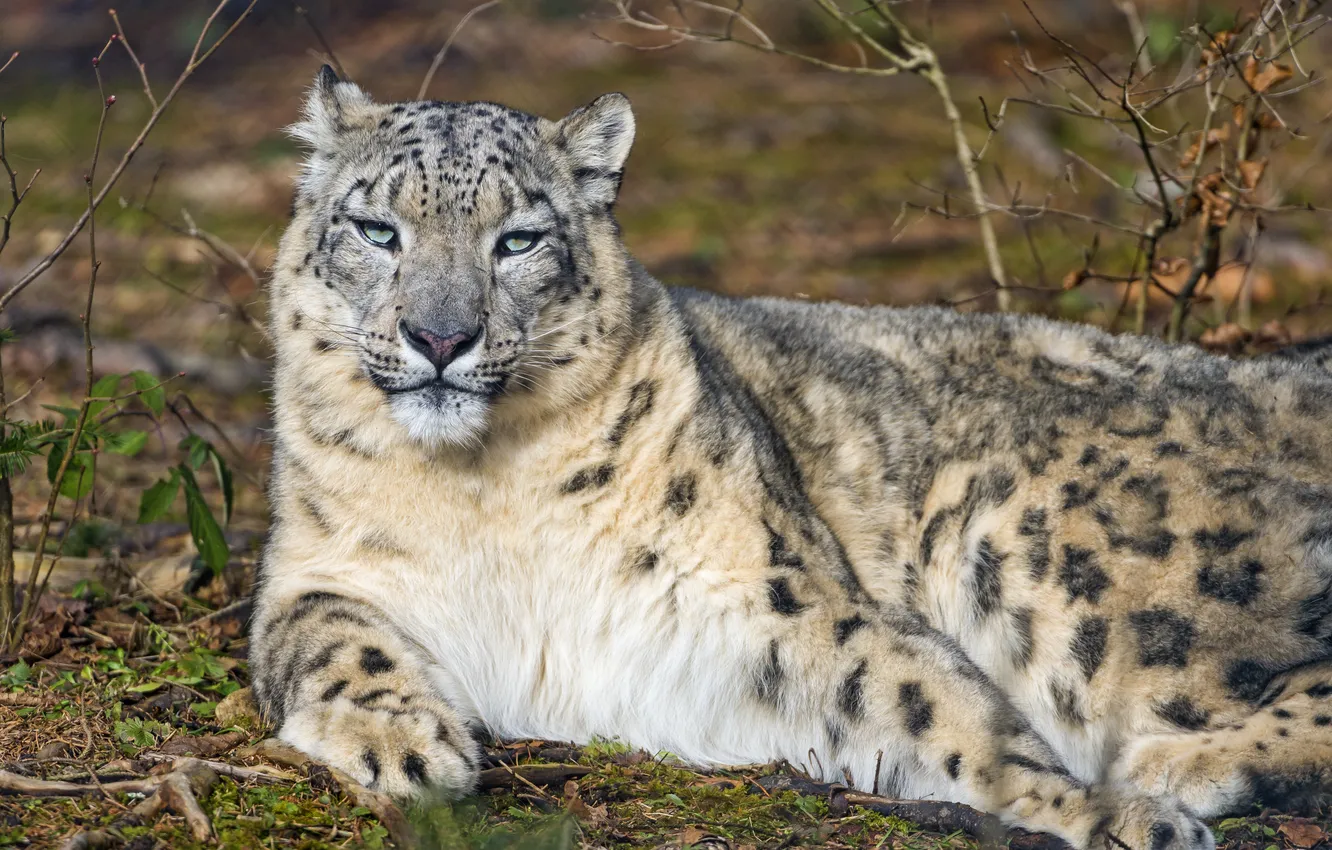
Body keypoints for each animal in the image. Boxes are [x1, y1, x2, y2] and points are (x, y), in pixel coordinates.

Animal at [250, 66, 1332, 850]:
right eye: (377, 229)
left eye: (517, 239)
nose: (442, 336)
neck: (486, 489)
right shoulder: (312, 569)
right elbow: (327, 638)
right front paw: (404, 741)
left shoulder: (781, 600)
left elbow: (941, 709)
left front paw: (1108, 816)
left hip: (1061, 555)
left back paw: (1172, 767)